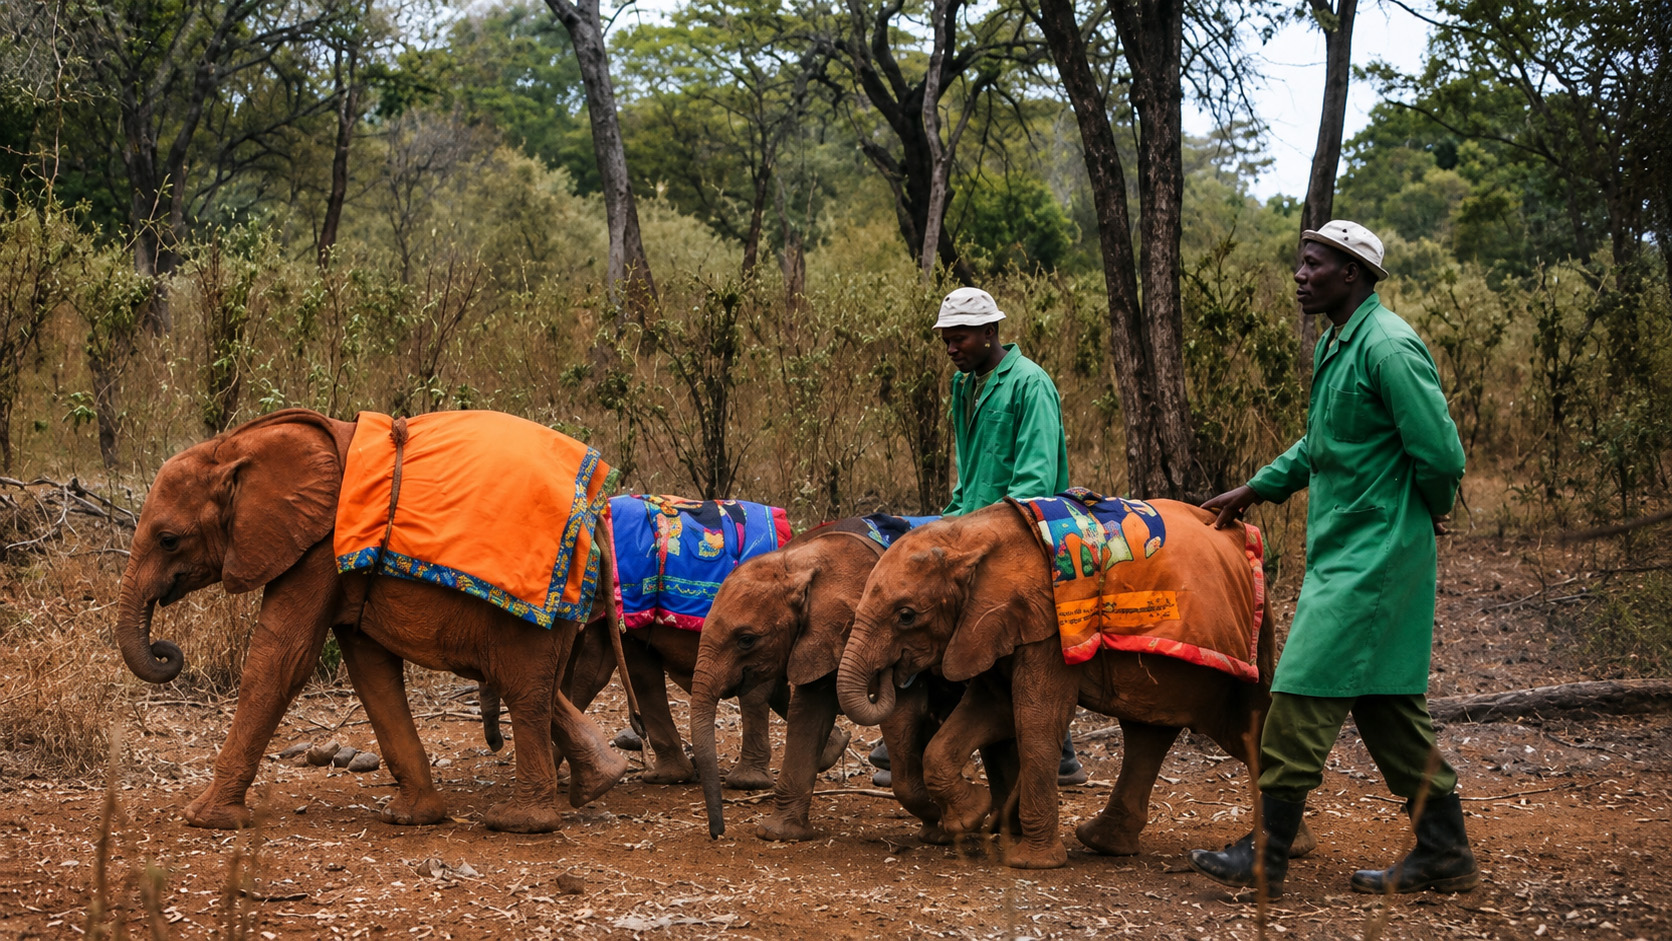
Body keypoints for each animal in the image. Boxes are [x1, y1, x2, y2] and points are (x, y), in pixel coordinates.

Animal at [114, 408, 629, 833]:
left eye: (167, 540)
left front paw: (203, 819)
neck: (235, 445)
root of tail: (592, 506)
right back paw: (601, 781)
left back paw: (518, 824)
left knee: (521, 686)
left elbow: (281, 659)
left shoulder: (317, 549)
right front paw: (412, 818)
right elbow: (369, 669)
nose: (166, 651)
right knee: (532, 683)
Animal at [690, 522, 985, 843]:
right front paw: (779, 834)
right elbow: (809, 712)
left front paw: (945, 819)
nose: (717, 833)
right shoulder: (818, 637)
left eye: (746, 640)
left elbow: (901, 714)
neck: (801, 562)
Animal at [836, 502, 1315, 869]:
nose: (895, 674)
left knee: (1244, 729)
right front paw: (969, 819)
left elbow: (1036, 717)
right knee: (1149, 732)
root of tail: (1241, 535)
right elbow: (992, 708)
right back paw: (1104, 843)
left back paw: (1285, 851)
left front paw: (1028, 861)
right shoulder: (992, 624)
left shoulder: (1047, 621)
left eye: (906, 616)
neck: (968, 533)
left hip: (1249, 642)